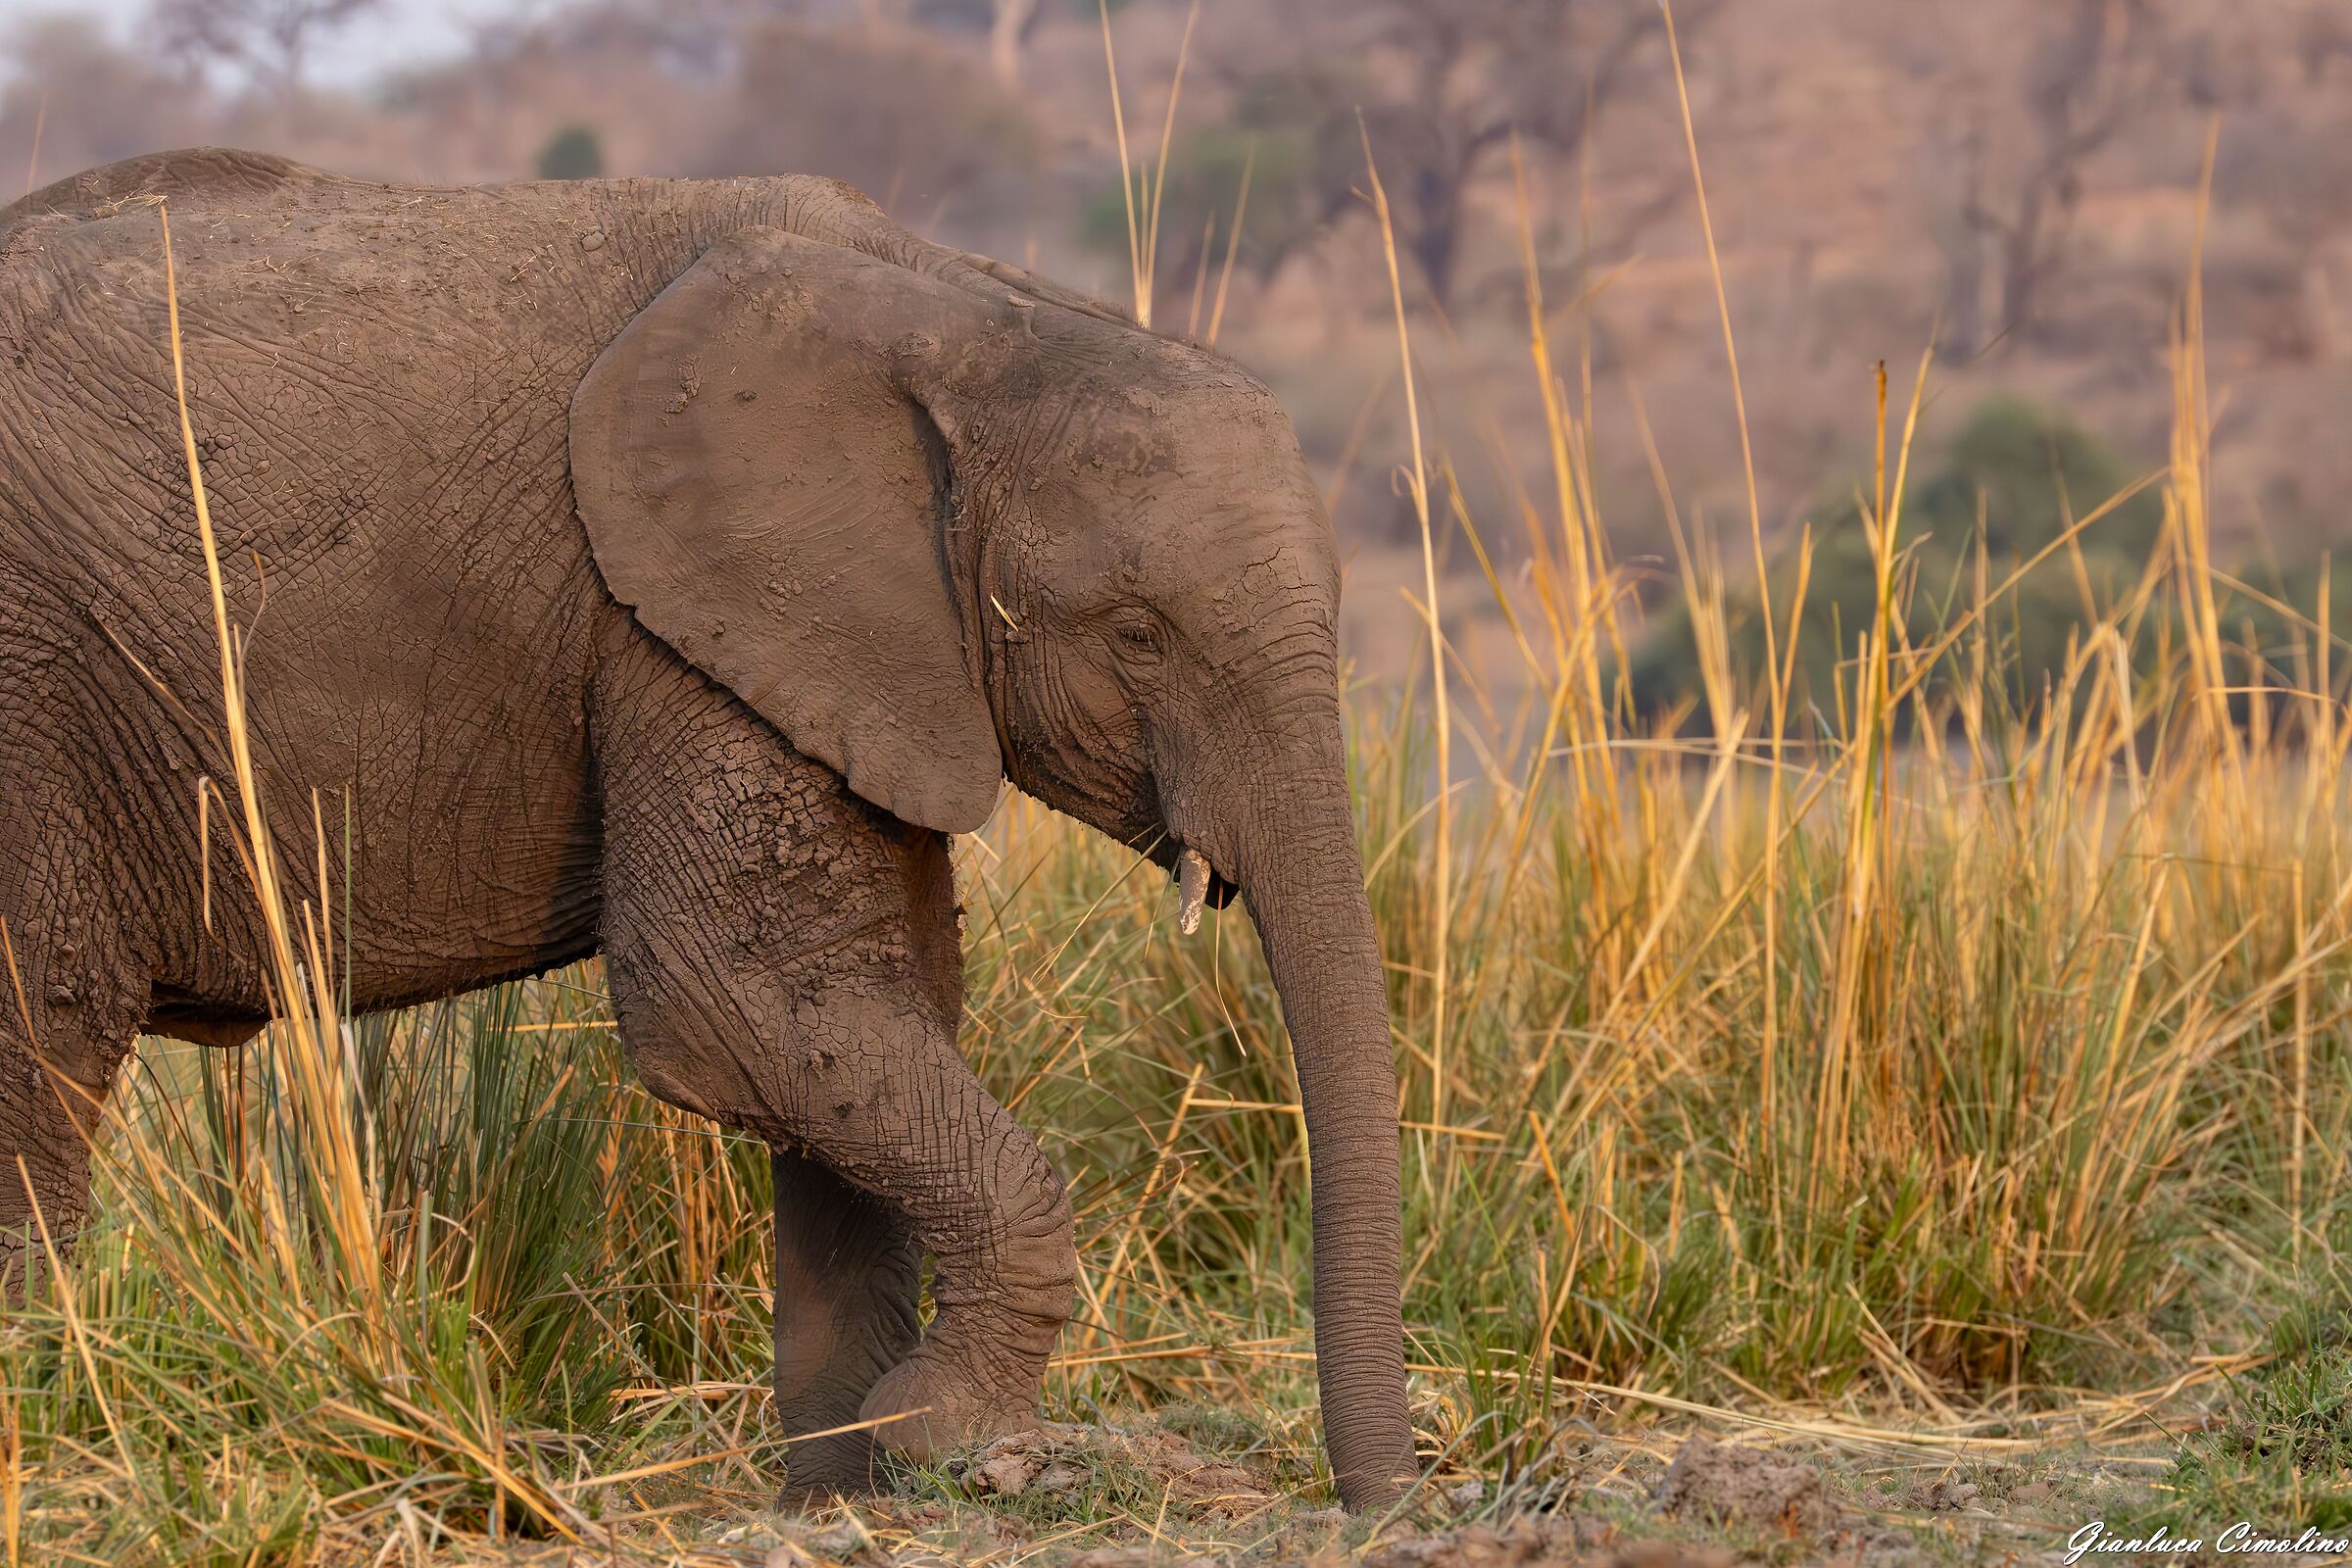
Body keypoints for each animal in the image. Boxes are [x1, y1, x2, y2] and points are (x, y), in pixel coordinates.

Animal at [0, 148, 1415, 1509]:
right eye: (1137, 635)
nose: (1381, 1503)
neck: (960, 311)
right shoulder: (682, 622)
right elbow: (735, 1006)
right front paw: (941, 1431)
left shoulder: (836, 656)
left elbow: (864, 1014)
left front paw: (843, 1494)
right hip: (36, 693)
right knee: (49, 1032)